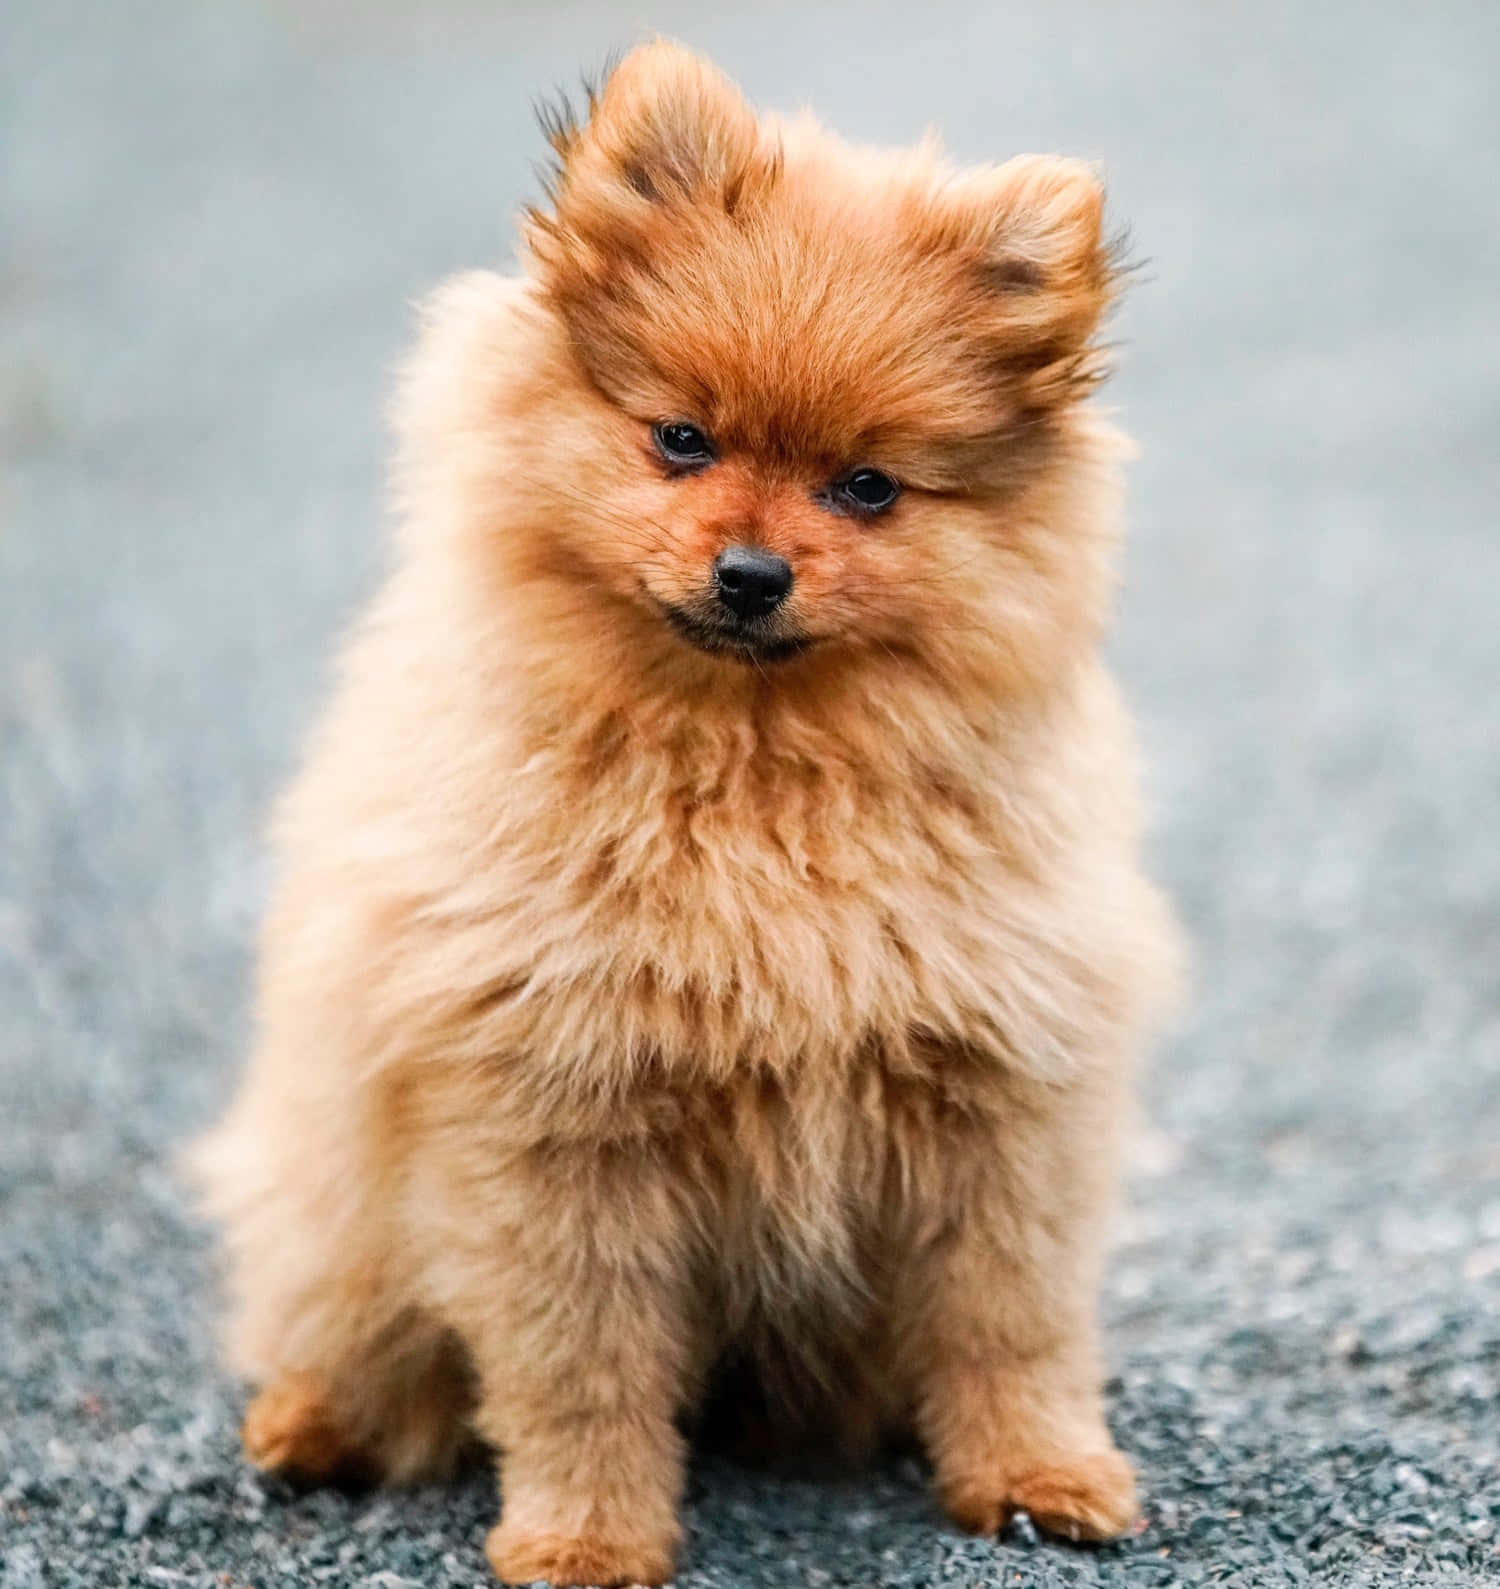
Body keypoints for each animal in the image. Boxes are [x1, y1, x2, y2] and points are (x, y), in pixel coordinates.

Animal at [187, 40, 1175, 1589]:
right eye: (680, 440)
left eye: (868, 486)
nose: (754, 571)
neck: (754, 775)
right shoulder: (552, 1119)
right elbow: (578, 1370)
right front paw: (586, 1539)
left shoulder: (1003, 1100)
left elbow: (1010, 1323)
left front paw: (1039, 1476)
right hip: (334, 1193)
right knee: (346, 1326)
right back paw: (316, 1425)